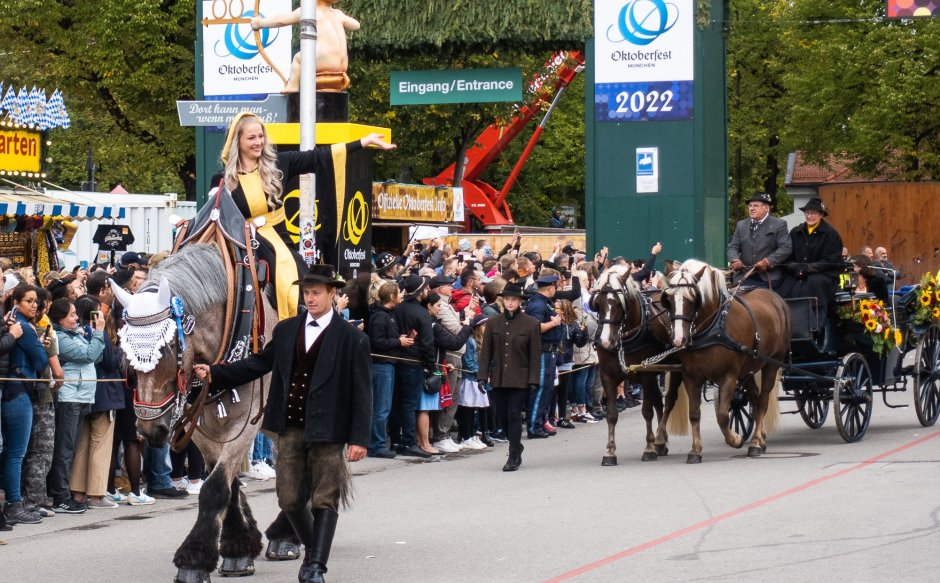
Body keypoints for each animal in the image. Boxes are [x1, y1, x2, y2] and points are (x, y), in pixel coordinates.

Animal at [116, 244, 296, 580]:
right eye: (126, 354)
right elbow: (228, 483)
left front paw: (195, 559)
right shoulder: (198, 425)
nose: (149, 429)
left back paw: (287, 537)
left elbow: (214, 487)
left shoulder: (245, 423)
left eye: (168, 349)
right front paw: (240, 544)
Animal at [592, 268, 680, 466]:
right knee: (659, 402)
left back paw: (659, 440)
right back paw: (661, 442)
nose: (606, 341)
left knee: (668, 401)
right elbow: (611, 414)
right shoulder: (607, 376)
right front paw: (610, 452)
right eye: (597, 304)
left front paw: (648, 449)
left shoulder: (646, 373)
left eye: (618, 303)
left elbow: (646, 411)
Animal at [656, 262, 788, 464]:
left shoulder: (729, 376)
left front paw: (735, 439)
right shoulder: (691, 376)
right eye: (668, 300)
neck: (713, 326)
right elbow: (694, 414)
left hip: (772, 363)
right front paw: (695, 450)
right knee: (755, 399)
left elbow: (723, 415)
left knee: (763, 400)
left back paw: (755, 443)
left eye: (693, 299)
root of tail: (774, 295)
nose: (678, 339)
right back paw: (760, 440)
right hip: (749, 370)